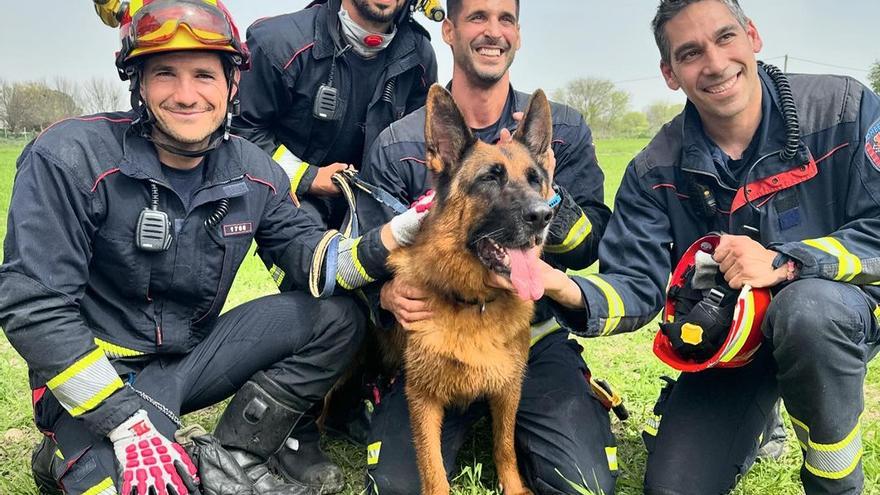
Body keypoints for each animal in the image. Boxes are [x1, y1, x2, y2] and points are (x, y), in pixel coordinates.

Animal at [384, 86, 552, 495]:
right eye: (490, 179)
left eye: (534, 179)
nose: (543, 216)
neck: (474, 303)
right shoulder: (423, 400)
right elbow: (432, 470)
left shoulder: (508, 390)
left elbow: (504, 447)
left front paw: (515, 487)